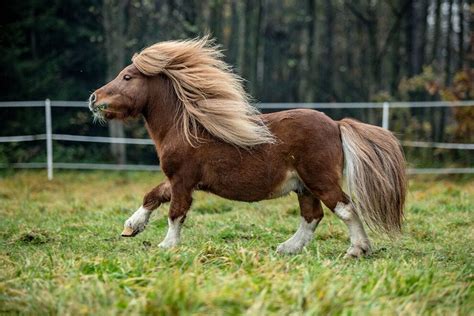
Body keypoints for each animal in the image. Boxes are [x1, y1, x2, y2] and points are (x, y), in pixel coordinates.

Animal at [90, 37, 408, 258]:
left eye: (127, 77)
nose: (93, 98)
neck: (185, 128)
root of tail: (336, 124)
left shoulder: (182, 180)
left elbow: (175, 212)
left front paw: (167, 245)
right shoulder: (180, 179)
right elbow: (153, 195)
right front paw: (131, 227)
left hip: (320, 180)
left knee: (345, 208)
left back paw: (357, 249)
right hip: (304, 186)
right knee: (312, 216)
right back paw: (287, 248)